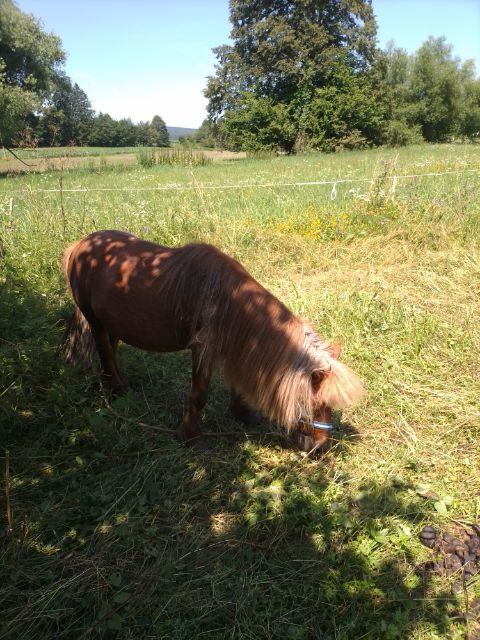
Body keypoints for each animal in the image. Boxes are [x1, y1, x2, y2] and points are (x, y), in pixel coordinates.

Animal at [62, 230, 364, 453]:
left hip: (113, 322)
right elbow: (198, 395)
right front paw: (189, 436)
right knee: (104, 352)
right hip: (95, 320)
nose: (319, 448)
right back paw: (116, 389)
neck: (226, 299)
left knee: (111, 351)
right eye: (317, 405)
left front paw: (242, 414)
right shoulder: (202, 351)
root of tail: (79, 245)